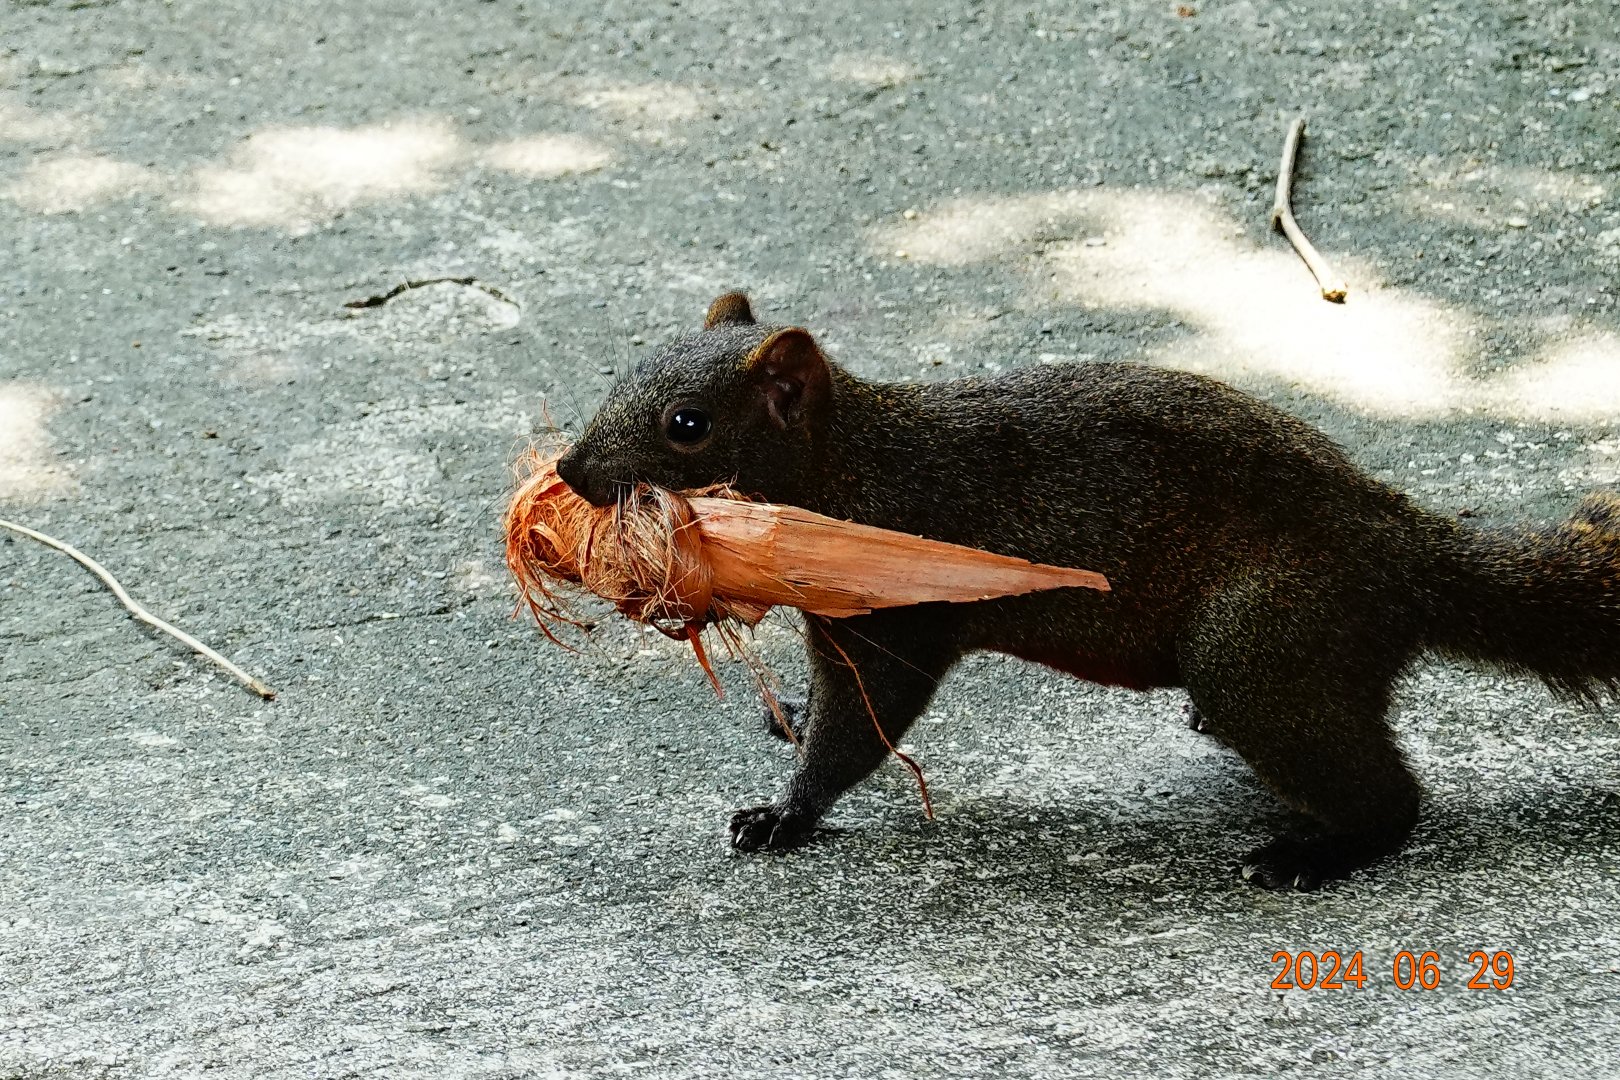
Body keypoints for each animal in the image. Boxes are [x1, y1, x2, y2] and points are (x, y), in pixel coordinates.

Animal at [555, 291, 1620, 890]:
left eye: (688, 424)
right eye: (623, 370)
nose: (567, 469)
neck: (853, 468)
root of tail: (1404, 555)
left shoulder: (900, 620)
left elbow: (863, 729)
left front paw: (784, 815)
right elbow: (832, 702)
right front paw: (791, 723)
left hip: (1261, 645)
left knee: (1392, 801)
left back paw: (1307, 855)